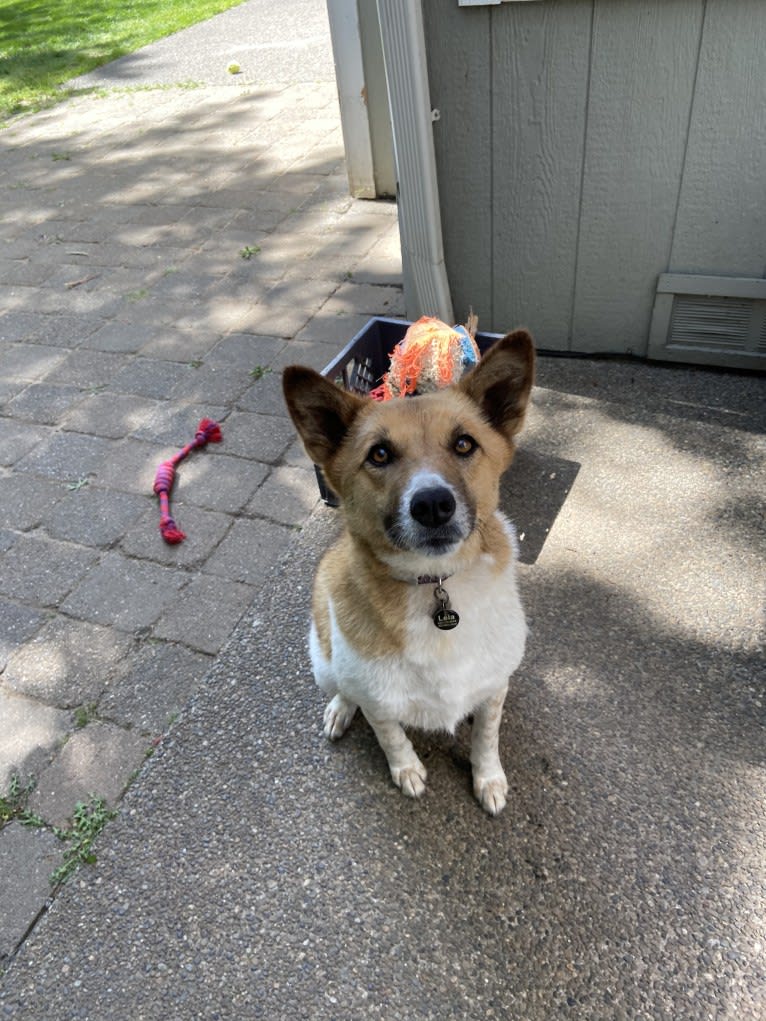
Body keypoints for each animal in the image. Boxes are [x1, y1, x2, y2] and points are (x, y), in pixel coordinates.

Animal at [279, 330, 535, 816]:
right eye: (379, 454)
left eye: (464, 444)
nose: (433, 504)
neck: (435, 584)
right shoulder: (378, 701)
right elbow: (390, 735)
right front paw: (407, 770)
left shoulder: (495, 687)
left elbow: (486, 736)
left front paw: (488, 777)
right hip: (323, 662)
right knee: (343, 688)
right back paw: (340, 709)